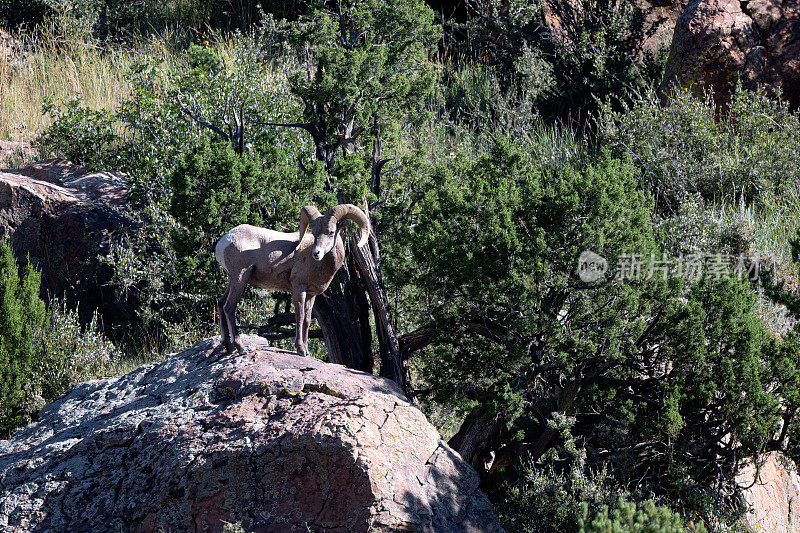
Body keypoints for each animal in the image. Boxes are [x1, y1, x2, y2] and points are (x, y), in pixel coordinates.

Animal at [216, 204, 372, 354]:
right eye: (314, 233)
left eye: (331, 232)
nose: (316, 253)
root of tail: (223, 242)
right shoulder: (299, 288)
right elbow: (300, 316)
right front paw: (301, 349)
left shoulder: (311, 295)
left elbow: (307, 320)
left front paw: (307, 350)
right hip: (239, 279)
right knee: (229, 307)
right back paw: (240, 347)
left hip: (233, 280)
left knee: (221, 303)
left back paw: (228, 346)